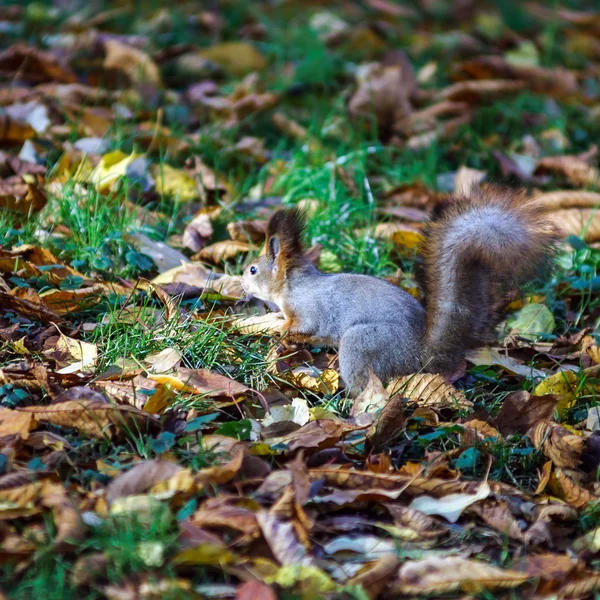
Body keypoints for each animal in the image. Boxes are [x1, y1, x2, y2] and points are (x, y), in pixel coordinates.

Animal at [240, 188, 556, 394]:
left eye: (253, 269)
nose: (241, 282)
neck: (294, 284)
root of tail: (419, 356)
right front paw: (272, 323)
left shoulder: (308, 309)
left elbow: (303, 325)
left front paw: (280, 331)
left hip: (364, 342)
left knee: (365, 385)